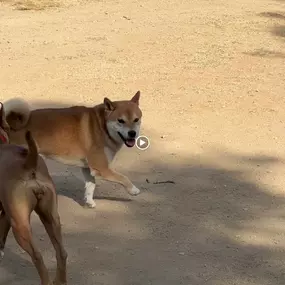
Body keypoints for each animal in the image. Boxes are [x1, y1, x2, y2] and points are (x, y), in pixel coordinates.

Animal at [0, 102, 67, 284]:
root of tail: (28, 162)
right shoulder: (5, 215)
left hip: (21, 226)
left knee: (38, 257)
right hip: (51, 218)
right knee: (62, 253)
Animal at [3, 92, 142, 207]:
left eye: (136, 120)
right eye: (120, 121)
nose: (132, 133)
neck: (102, 126)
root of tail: (7, 124)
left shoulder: (88, 169)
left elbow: (91, 185)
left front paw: (89, 202)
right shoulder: (102, 169)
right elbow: (123, 177)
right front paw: (134, 190)